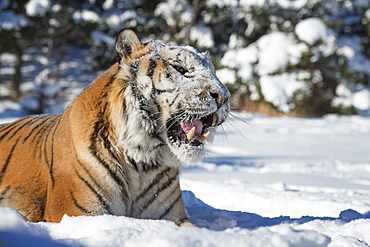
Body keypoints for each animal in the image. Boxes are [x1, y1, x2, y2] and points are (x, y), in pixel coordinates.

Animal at [0, 28, 228, 226]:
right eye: (180, 68)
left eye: (214, 73)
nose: (224, 97)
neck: (143, 162)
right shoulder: (77, 213)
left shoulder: (172, 218)